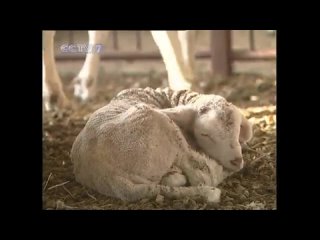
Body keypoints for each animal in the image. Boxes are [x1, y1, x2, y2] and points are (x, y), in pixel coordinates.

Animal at [70, 86, 252, 202]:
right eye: (204, 134)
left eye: (238, 129)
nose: (236, 160)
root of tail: (111, 177)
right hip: (162, 126)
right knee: (202, 176)